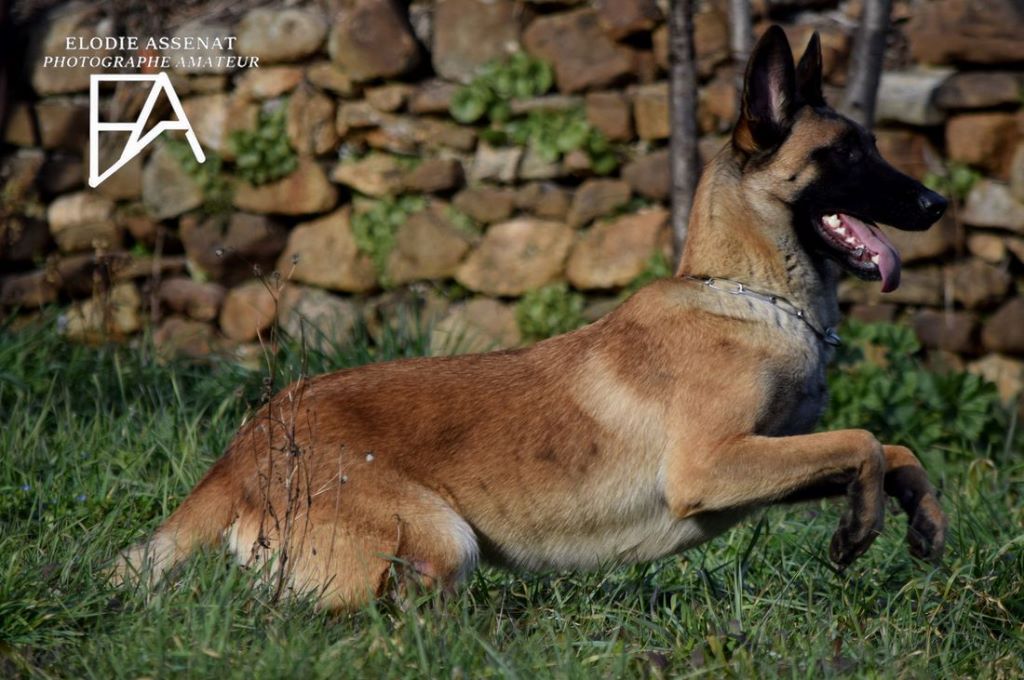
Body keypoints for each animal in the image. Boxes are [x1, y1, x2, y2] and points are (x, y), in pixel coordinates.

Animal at [117, 27, 950, 610]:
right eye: (846, 154)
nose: (937, 204)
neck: (742, 293)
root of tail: (245, 448)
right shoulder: (712, 466)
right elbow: (863, 441)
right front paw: (859, 529)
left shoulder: (764, 458)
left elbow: (892, 448)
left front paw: (925, 519)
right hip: (441, 541)